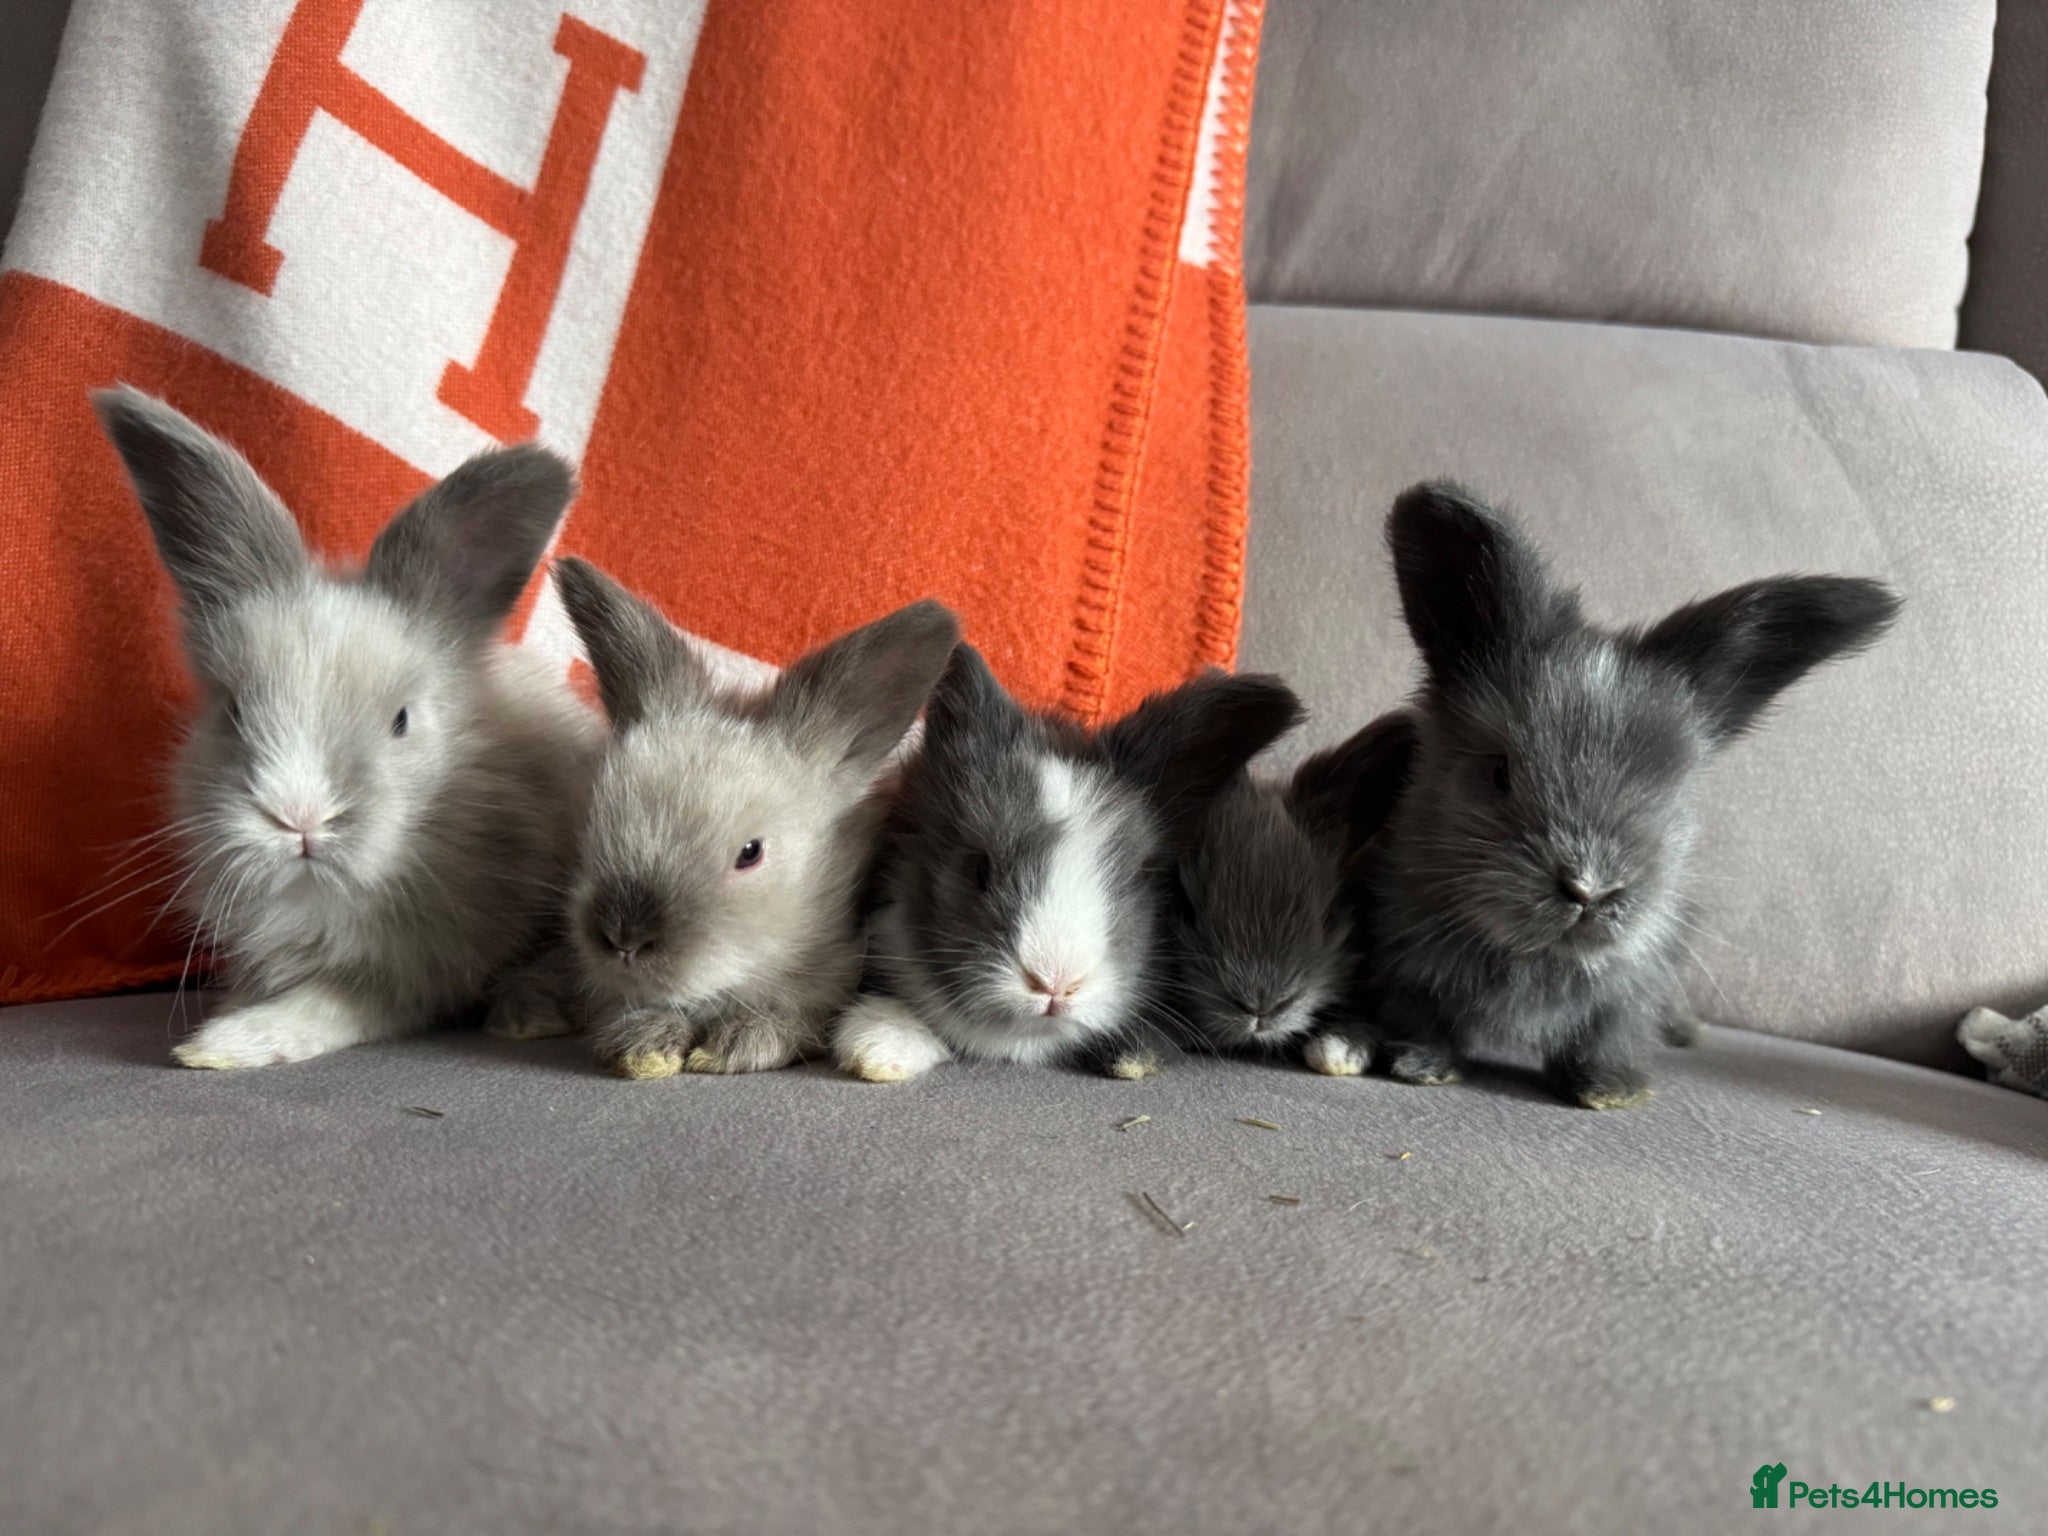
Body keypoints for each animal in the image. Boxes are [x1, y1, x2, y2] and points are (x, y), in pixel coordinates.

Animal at [92, 386, 602, 1068]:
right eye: (233, 711)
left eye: (401, 721)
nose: (300, 819)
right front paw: (225, 1025)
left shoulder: (417, 968)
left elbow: (329, 1007)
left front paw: (219, 1046)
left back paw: (527, 1014)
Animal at [1306, 481, 1901, 1107]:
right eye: (1500, 772)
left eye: (1668, 790)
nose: (1589, 889)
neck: (1534, 959)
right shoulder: (1406, 965)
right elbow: (1421, 1019)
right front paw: (1421, 1064)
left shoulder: (1630, 990)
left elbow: (1607, 1034)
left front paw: (1612, 1090)